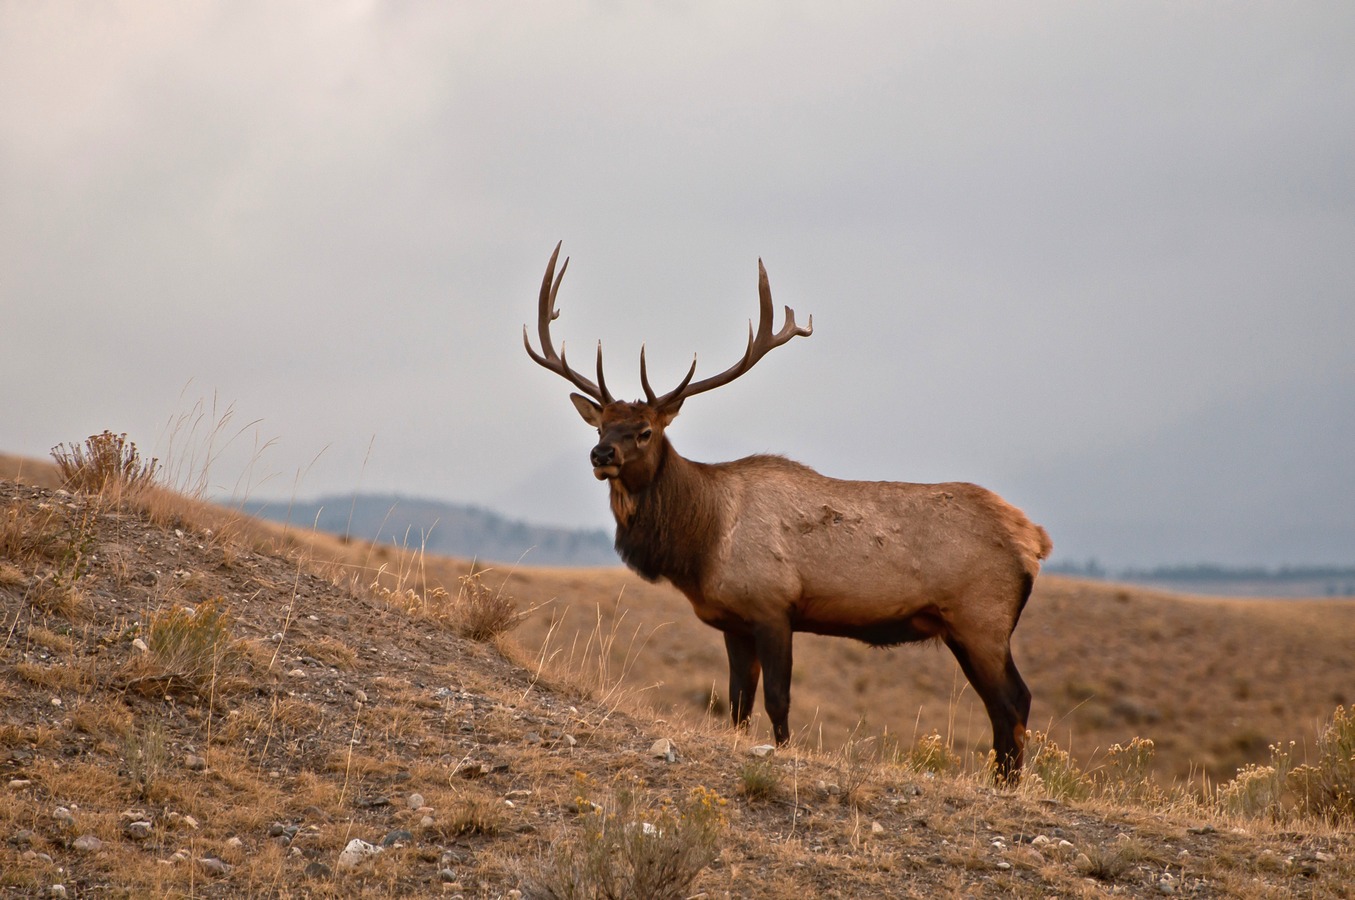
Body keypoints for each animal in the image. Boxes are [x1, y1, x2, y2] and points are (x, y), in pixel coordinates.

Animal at [523, 242, 1052, 782]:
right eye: (600, 427)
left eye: (646, 431)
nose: (601, 455)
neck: (702, 545)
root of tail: (1034, 539)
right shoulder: (734, 622)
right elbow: (737, 705)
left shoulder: (773, 606)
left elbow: (778, 701)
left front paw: (781, 753)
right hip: (966, 629)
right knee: (1005, 708)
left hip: (982, 619)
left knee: (1014, 702)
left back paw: (1008, 785)